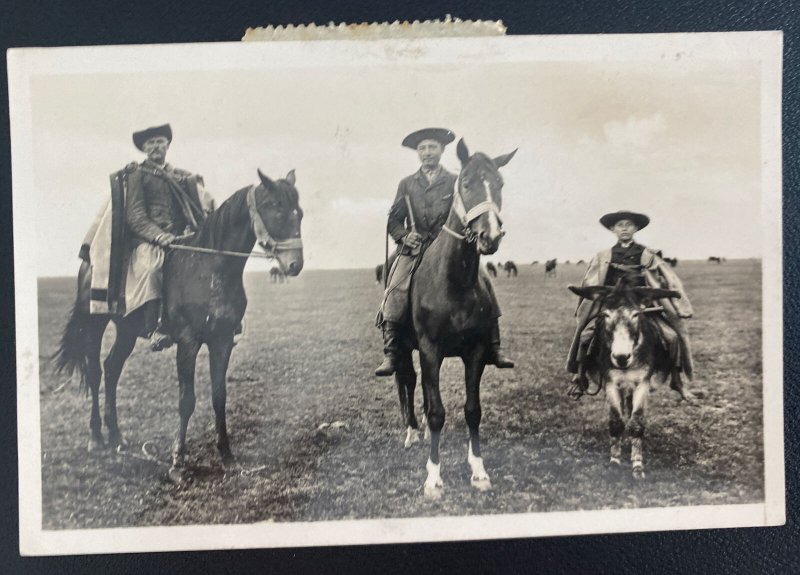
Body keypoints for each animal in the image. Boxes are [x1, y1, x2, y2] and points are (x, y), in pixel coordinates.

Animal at [53, 169, 304, 480]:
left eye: (299, 213)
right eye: (277, 208)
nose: (295, 265)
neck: (210, 269)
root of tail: (89, 263)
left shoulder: (222, 342)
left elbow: (219, 397)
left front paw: (227, 456)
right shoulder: (188, 342)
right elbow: (187, 401)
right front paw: (178, 461)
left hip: (126, 330)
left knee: (112, 369)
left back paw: (117, 437)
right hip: (94, 323)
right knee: (95, 372)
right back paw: (96, 438)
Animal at [394, 140, 520, 500]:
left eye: (500, 184)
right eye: (465, 183)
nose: (490, 236)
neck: (455, 281)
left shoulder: (474, 352)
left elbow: (472, 410)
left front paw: (478, 470)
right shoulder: (430, 349)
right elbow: (437, 413)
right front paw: (434, 478)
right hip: (405, 349)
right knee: (408, 381)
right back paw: (412, 432)